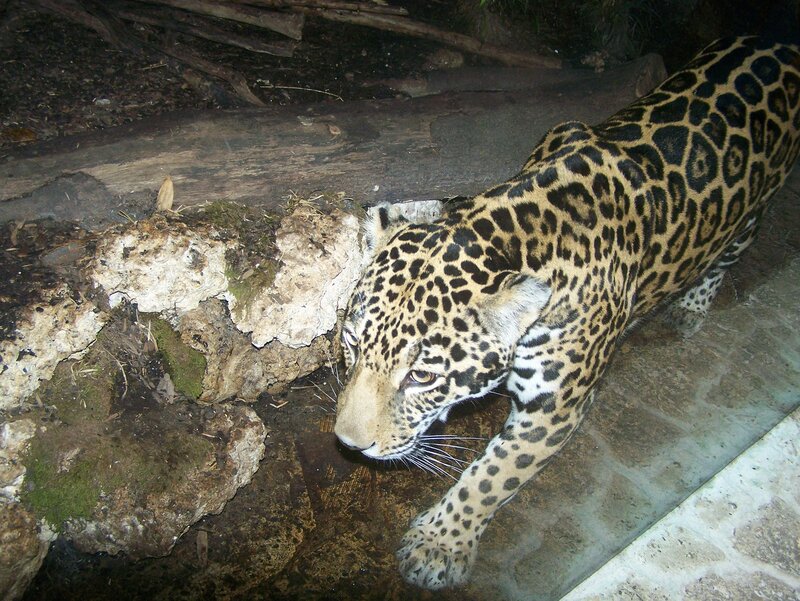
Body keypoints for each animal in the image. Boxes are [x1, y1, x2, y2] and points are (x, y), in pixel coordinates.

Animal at [334, 36, 800, 589]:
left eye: (422, 376)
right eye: (352, 343)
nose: (347, 443)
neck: (516, 230)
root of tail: (778, 43)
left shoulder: (556, 408)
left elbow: (491, 477)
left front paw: (437, 546)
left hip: (752, 213)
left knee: (728, 253)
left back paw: (691, 306)